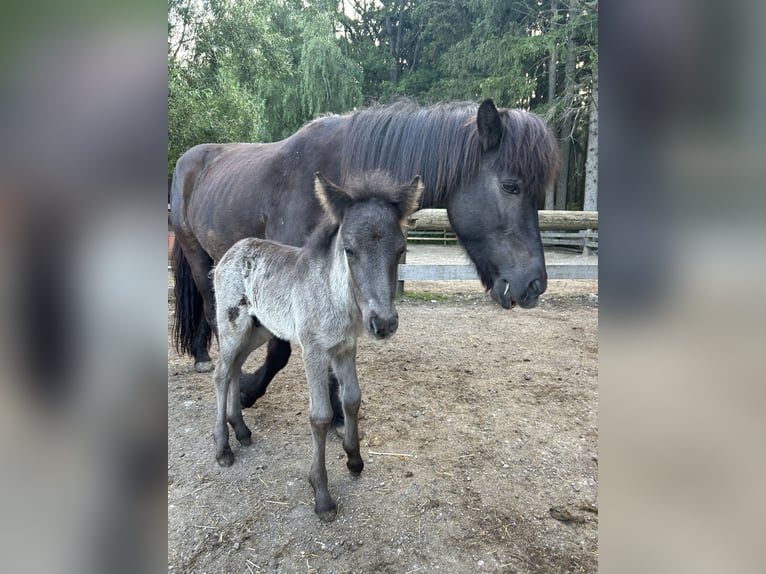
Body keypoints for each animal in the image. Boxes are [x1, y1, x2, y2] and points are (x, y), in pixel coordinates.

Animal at [170, 98, 559, 417]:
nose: (534, 284)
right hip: (198, 254)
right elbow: (281, 350)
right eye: (510, 186)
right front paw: (249, 392)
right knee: (213, 310)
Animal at [211, 171, 422, 521]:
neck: (336, 297)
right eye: (349, 250)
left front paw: (354, 460)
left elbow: (351, 400)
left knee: (237, 368)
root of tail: (232, 251)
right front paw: (321, 494)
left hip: (259, 329)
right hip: (232, 325)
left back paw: (241, 430)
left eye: (401, 249)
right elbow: (321, 416)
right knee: (221, 373)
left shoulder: (345, 348)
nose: (384, 323)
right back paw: (223, 447)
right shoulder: (313, 351)